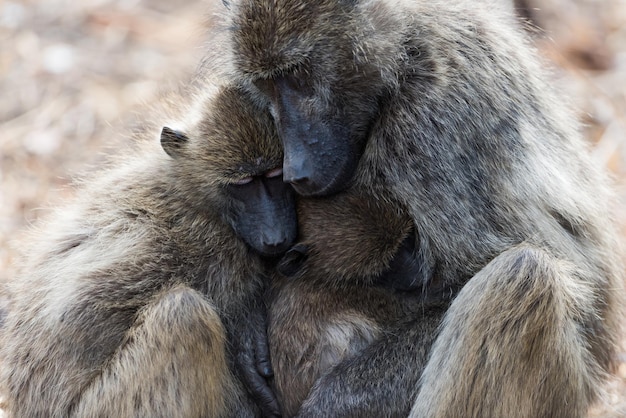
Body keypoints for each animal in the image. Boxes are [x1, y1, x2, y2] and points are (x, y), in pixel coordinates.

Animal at [0, 76, 296, 416]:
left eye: (274, 175)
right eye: (243, 184)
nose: (275, 235)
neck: (190, 192)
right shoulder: (219, 251)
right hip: (106, 407)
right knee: (184, 314)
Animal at [222, 1, 620, 416]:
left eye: (298, 75)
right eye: (266, 85)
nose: (296, 169)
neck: (404, 53)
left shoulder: (430, 127)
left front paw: (327, 404)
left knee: (524, 275)